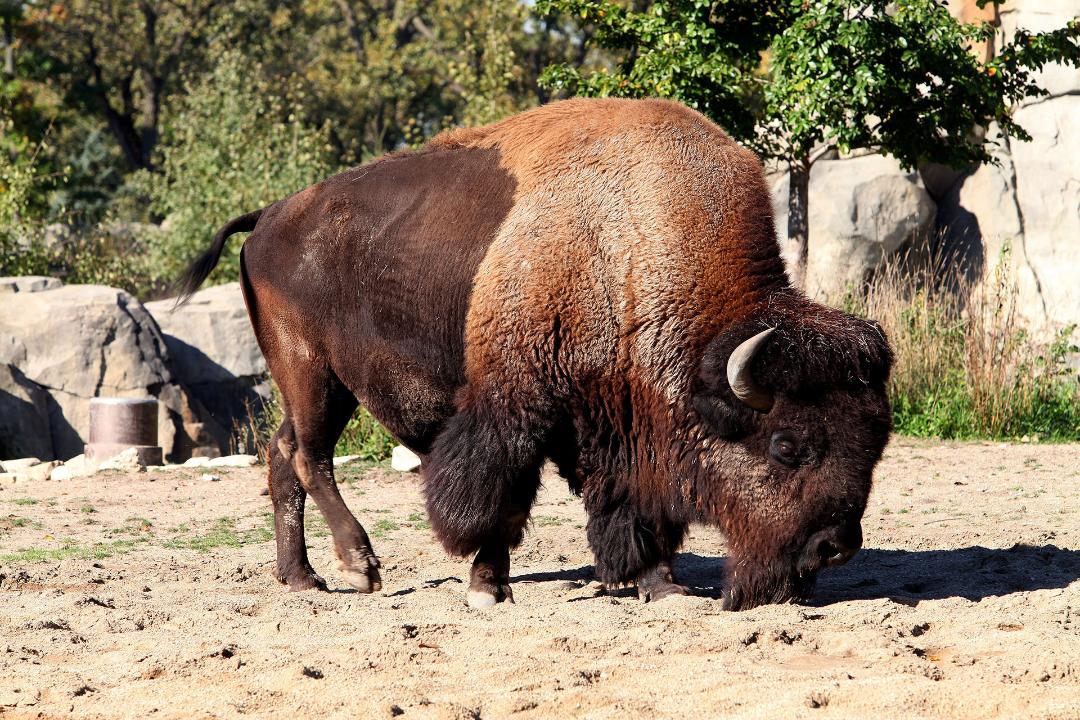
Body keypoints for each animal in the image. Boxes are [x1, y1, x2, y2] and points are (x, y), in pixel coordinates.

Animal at [179, 98, 894, 613]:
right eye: (787, 445)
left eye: (876, 443)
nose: (834, 548)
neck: (628, 245)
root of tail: (269, 216)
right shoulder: (515, 403)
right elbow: (501, 494)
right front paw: (486, 586)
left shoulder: (613, 421)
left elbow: (629, 505)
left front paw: (658, 583)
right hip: (311, 368)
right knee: (309, 455)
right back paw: (361, 566)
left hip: (318, 383)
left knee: (283, 453)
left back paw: (301, 578)